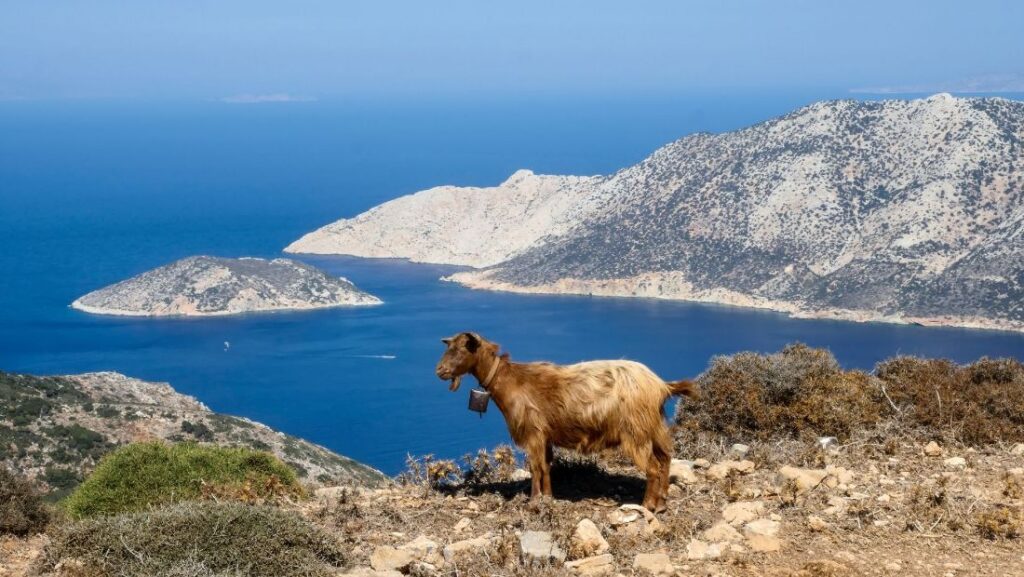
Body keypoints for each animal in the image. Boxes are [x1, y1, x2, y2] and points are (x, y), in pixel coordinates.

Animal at [432, 332, 696, 512]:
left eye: (461, 350)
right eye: (449, 347)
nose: (439, 371)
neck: (511, 381)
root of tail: (661, 386)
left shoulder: (533, 433)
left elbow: (536, 467)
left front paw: (534, 501)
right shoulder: (545, 436)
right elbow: (547, 466)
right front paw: (549, 497)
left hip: (636, 432)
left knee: (652, 467)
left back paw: (647, 505)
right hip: (655, 427)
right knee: (665, 458)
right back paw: (662, 502)